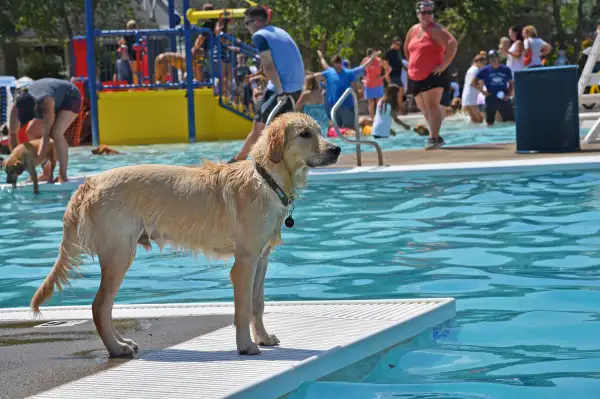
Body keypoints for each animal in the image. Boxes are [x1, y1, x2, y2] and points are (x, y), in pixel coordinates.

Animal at [31, 113, 342, 360]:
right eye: (304, 134)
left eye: (320, 130)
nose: (337, 149)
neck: (266, 179)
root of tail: (90, 182)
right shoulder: (244, 262)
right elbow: (243, 308)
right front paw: (246, 345)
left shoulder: (261, 259)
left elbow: (257, 303)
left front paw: (263, 338)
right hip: (119, 256)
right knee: (99, 306)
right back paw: (116, 349)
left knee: (104, 308)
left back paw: (122, 343)